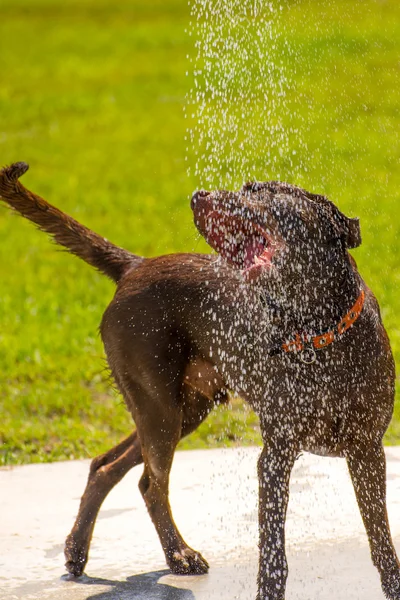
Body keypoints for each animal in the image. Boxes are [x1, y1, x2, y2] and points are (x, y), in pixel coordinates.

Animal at [0, 162, 398, 596]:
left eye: (264, 190)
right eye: (246, 186)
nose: (199, 195)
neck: (317, 332)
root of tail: (136, 265)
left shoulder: (367, 450)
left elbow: (380, 538)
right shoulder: (275, 455)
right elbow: (273, 552)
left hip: (183, 411)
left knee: (107, 466)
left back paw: (82, 550)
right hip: (158, 408)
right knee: (150, 483)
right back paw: (178, 554)